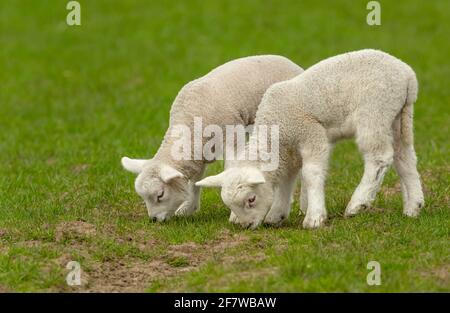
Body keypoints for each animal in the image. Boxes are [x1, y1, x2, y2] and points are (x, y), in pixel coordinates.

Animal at [120, 56, 302, 222]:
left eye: (160, 195)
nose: (153, 219)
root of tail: (291, 62)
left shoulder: (232, 136)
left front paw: (234, 214)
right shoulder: (198, 152)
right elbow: (195, 180)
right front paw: (188, 208)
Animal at [197, 49, 426, 229]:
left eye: (251, 199)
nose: (244, 226)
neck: (276, 132)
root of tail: (408, 76)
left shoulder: (311, 133)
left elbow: (311, 174)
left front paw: (314, 218)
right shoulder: (288, 152)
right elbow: (286, 180)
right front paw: (276, 215)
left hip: (374, 111)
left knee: (380, 157)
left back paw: (358, 203)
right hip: (400, 117)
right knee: (405, 158)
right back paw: (413, 206)